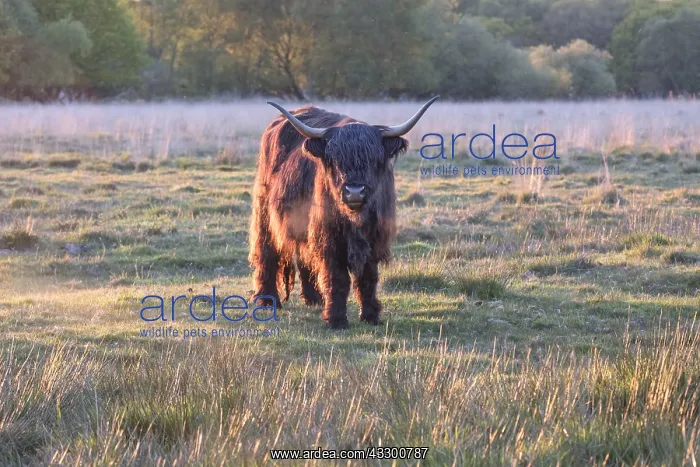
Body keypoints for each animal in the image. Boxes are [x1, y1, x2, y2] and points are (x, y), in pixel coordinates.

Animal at [248, 97, 439, 328]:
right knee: (266, 252)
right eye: (335, 159)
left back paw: (314, 298)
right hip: (265, 212)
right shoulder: (330, 237)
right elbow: (337, 278)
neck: (356, 220)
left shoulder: (374, 238)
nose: (354, 192)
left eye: (374, 158)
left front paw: (370, 315)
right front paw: (336, 319)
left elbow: (368, 277)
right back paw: (267, 300)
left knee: (305, 257)